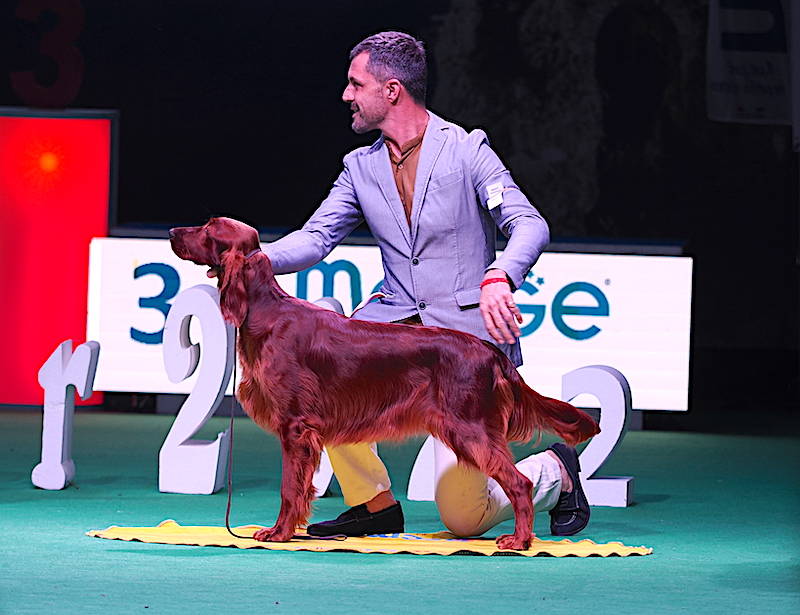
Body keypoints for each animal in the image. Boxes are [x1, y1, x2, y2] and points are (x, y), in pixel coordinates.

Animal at [173, 219, 600, 552]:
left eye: (209, 228)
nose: (174, 230)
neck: (265, 310)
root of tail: (490, 351)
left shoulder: (294, 427)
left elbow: (289, 488)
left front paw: (278, 533)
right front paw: (289, 530)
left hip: (471, 429)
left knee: (520, 483)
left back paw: (520, 540)